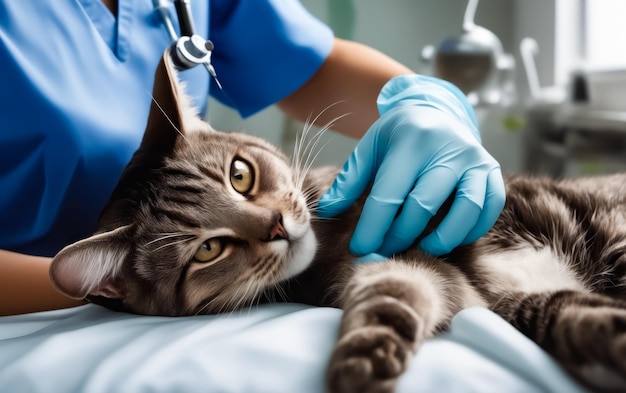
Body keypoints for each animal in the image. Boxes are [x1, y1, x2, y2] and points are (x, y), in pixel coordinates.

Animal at [50, 52, 626, 392]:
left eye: (240, 175)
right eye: (207, 251)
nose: (278, 226)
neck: (329, 243)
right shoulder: (421, 274)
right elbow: (395, 295)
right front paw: (365, 356)